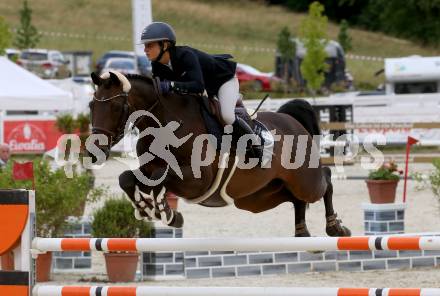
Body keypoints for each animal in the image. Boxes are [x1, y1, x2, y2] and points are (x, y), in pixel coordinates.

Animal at [88, 70, 350, 238]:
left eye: (116, 107)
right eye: (92, 106)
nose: (94, 152)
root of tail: (291, 119)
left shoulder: (198, 180)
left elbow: (161, 176)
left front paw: (165, 212)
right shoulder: (148, 170)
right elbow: (127, 178)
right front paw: (148, 208)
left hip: (304, 179)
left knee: (325, 180)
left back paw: (336, 228)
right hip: (260, 197)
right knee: (296, 199)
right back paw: (302, 232)